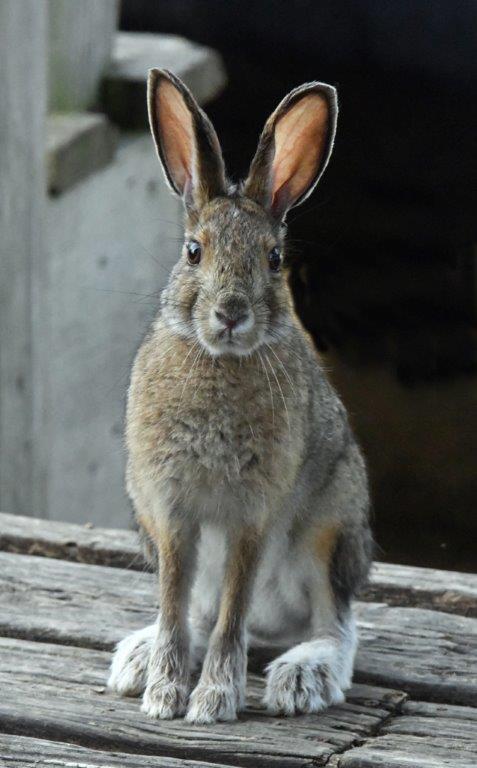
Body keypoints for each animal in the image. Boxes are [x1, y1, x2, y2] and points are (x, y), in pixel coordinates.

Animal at [108, 68, 372, 725]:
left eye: (273, 259)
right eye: (193, 251)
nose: (230, 313)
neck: (219, 362)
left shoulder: (252, 515)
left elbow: (234, 615)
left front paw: (213, 703)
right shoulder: (171, 514)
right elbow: (176, 607)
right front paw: (163, 697)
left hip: (330, 529)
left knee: (337, 624)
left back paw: (303, 676)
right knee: (195, 614)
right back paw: (138, 659)